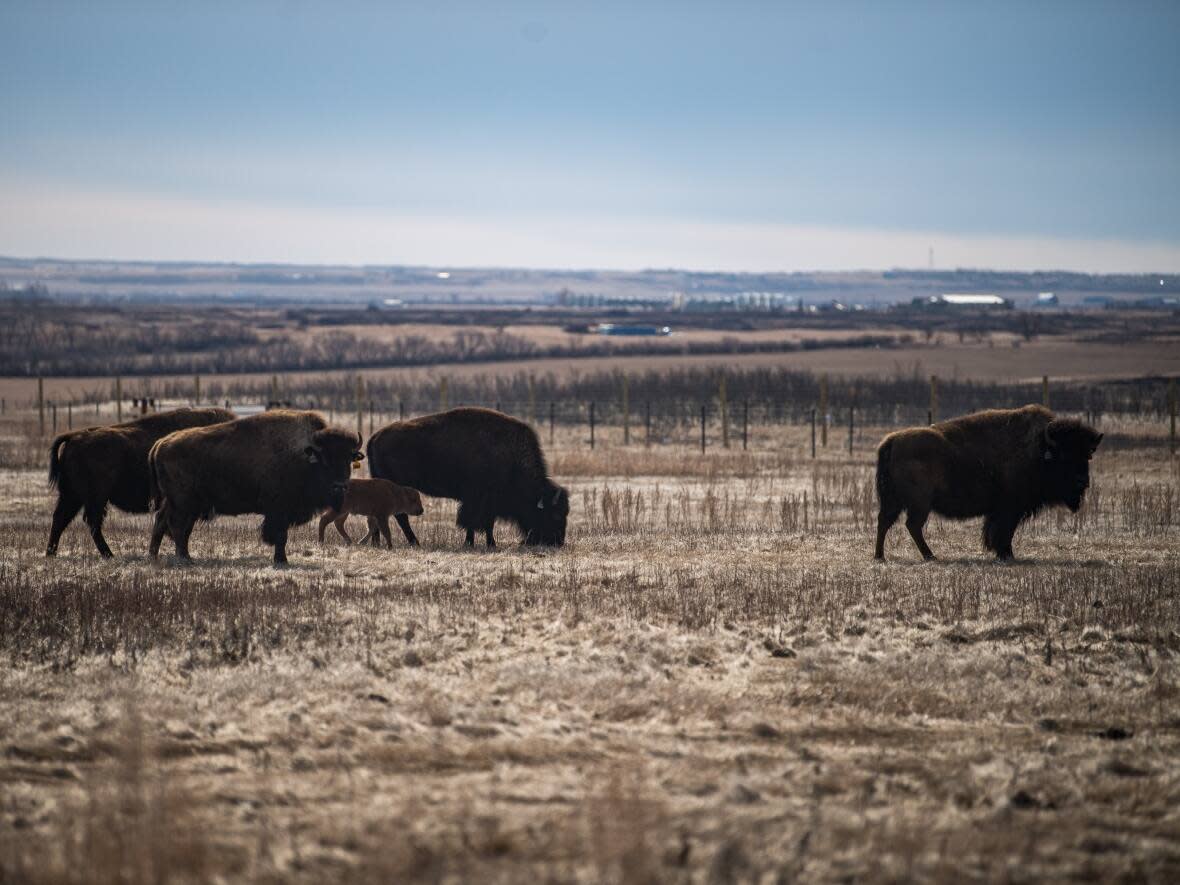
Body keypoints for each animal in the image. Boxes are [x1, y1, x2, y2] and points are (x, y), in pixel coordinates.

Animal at [147, 410, 361, 564]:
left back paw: (156, 556)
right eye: (325, 460)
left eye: (349, 459)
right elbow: (280, 536)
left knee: (163, 522)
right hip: (183, 503)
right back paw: (183, 558)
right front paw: (281, 560)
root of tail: (160, 444)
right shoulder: (279, 510)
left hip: (179, 502)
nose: (340, 486)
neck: (305, 456)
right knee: (176, 526)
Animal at [368, 412, 571, 552]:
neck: (511, 459)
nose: (558, 542)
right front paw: (480, 543)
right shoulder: (478, 500)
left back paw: (378, 542)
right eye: (555, 515)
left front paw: (483, 543)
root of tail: (375, 437)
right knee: (400, 517)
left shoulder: (485, 503)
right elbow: (476, 522)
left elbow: (484, 523)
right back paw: (414, 542)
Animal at [873, 403, 1099, 561]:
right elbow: (1003, 532)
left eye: (1087, 455)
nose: (1083, 481)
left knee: (886, 522)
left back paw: (881, 556)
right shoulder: (1010, 508)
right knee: (911, 525)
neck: (1039, 449)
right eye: (1064, 456)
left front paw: (1003, 553)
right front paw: (1006, 554)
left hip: (895, 501)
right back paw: (929, 556)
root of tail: (893, 441)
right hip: (919, 503)